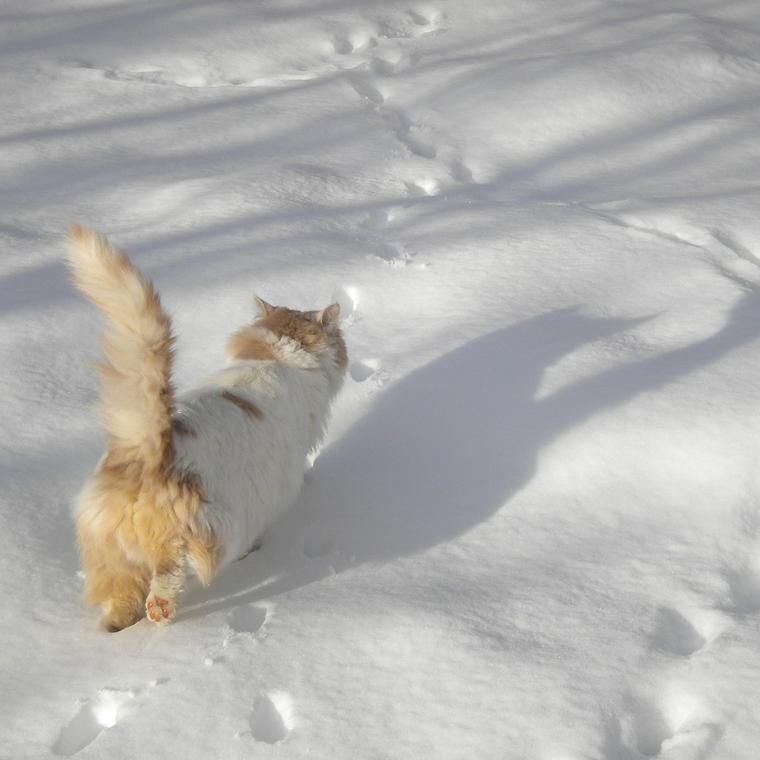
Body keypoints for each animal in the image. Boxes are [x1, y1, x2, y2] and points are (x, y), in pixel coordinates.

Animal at [68, 226, 348, 628]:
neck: (278, 358)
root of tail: (145, 451)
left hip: (113, 557)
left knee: (121, 599)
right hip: (208, 529)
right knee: (166, 580)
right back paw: (161, 609)